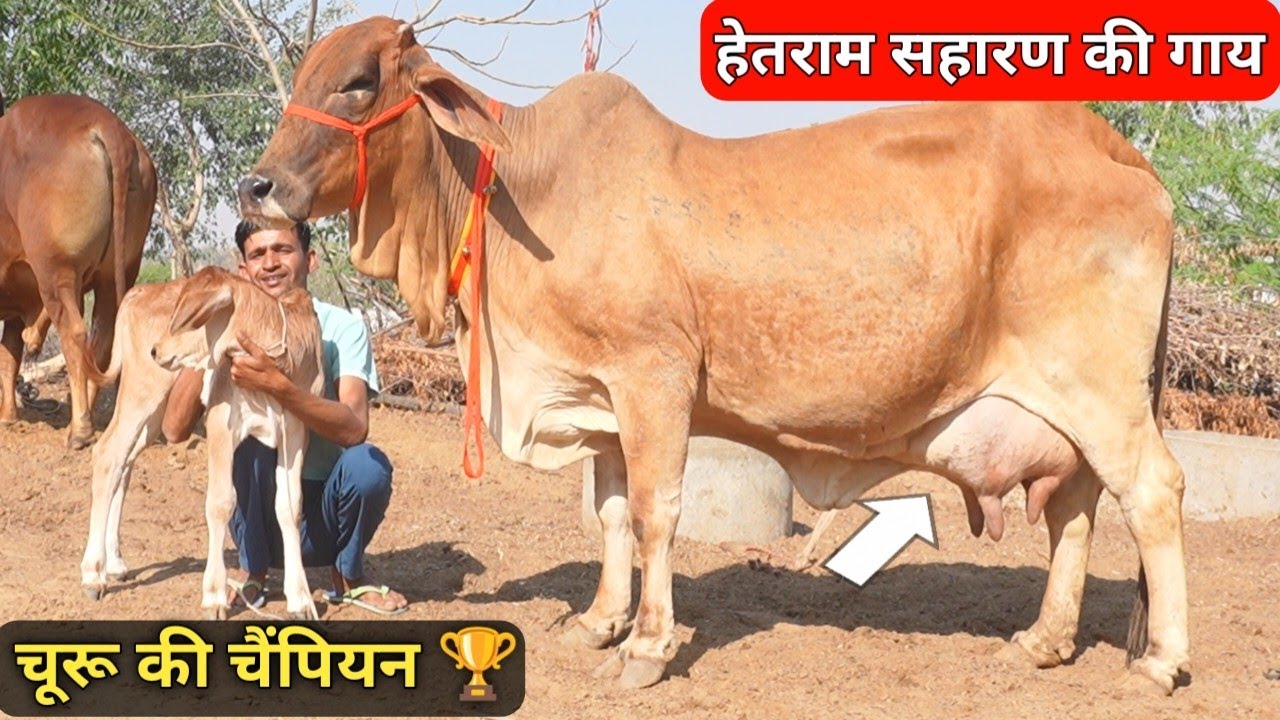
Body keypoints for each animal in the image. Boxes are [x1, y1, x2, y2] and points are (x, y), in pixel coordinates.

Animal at [0, 94, 157, 448]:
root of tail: (110, 126)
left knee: (74, 334)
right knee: (102, 339)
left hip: (55, 271)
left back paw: (80, 429)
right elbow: (8, 356)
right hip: (118, 273)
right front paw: (8, 416)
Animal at [81, 267, 324, 620]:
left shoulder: (295, 430)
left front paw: (301, 599)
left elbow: (289, 506)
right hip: (141, 391)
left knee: (124, 464)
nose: (156, 350)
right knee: (107, 455)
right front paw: (214, 595)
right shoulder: (221, 420)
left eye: (190, 315)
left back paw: (114, 562)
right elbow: (221, 502)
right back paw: (93, 573)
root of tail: (139, 291)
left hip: (152, 416)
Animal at [238, 17, 1188, 694]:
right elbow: (611, 516)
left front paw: (648, 647)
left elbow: (657, 513)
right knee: (1074, 511)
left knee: (1151, 492)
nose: (256, 186)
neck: (514, 187)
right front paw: (600, 621)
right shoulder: (601, 399)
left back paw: (1161, 660)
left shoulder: (652, 378)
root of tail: (1116, 149)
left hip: (1099, 388)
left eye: (359, 82)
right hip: (1059, 409)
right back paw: (1043, 642)